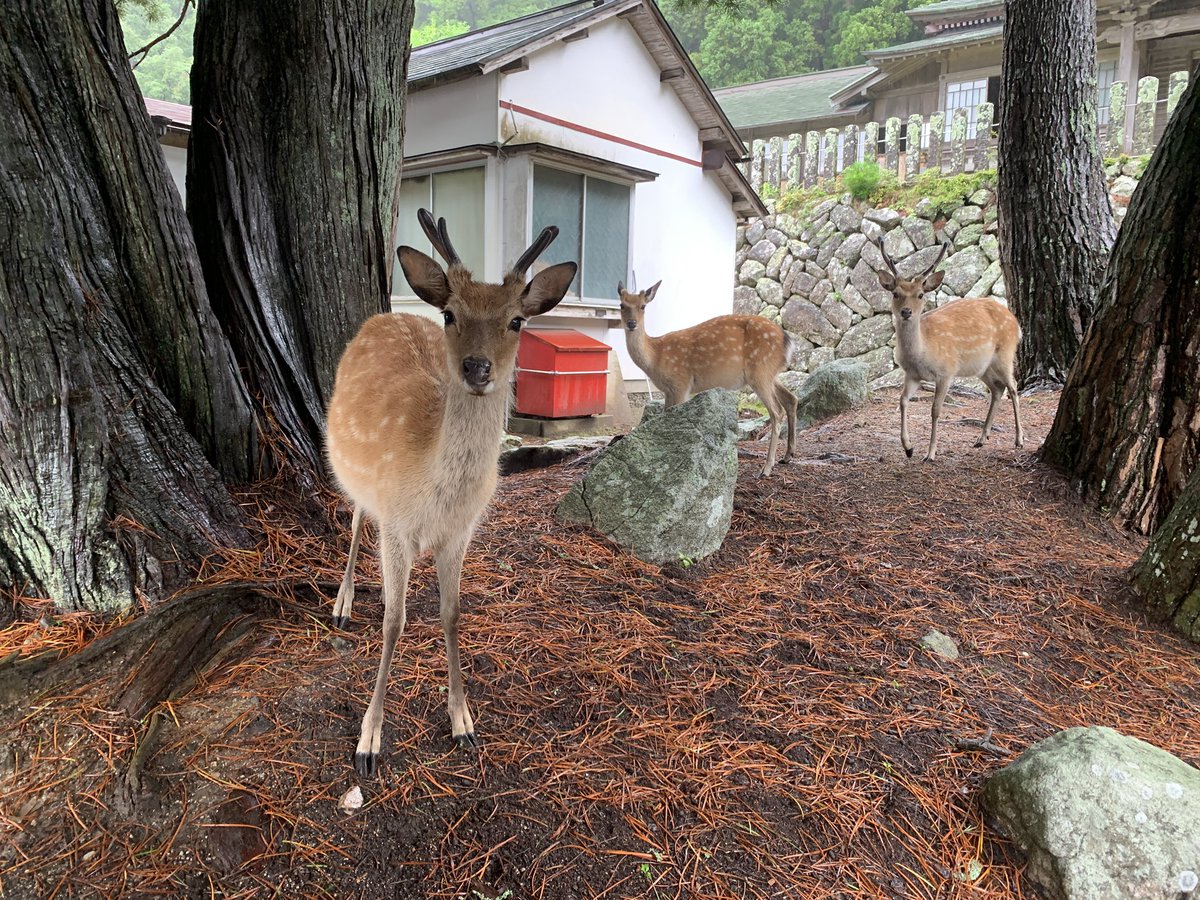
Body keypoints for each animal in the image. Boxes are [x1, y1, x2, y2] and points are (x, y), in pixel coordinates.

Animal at [325, 209, 577, 776]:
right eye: (450, 314)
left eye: (516, 320)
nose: (477, 368)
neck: (433, 491)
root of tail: (380, 317)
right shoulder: (396, 524)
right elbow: (393, 622)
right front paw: (368, 741)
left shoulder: (460, 534)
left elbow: (452, 613)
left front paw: (463, 722)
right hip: (354, 473)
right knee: (354, 518)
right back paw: (343, 603)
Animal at [617, 281, 797, 476]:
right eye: (622, 305)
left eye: (643, 306)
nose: (631, 323)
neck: (656, 357)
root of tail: (787, 341)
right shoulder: (668, 391)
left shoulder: (681, 383)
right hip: (770, 373)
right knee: (791, 398)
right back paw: (787, 455)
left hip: (760, 371)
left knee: (776, 412)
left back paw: (767, 468)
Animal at [876, 240, 1024, 462]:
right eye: (895, 293)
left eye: (920, 294)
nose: (906, 312)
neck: (922, 353)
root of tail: (1015, 321)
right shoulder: (912, 375)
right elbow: (902, 401)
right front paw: (909, 448)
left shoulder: (946, 372)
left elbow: (935, 410)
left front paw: (930, 454)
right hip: (981, 367)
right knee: (997, 389)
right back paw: (981, 438)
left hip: (1005, 353)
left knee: (1013, 387)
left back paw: (1019, 439)